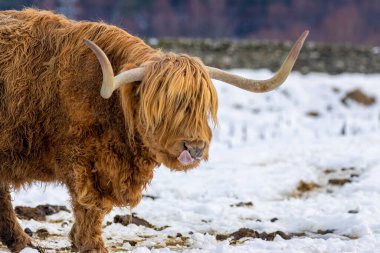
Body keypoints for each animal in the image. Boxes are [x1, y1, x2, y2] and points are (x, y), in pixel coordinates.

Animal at [0, 8, 308, 253]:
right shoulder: (83, 163)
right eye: (162, 108)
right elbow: (89, 206)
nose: (194, 147)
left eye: (202, 108)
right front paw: (91, 246)